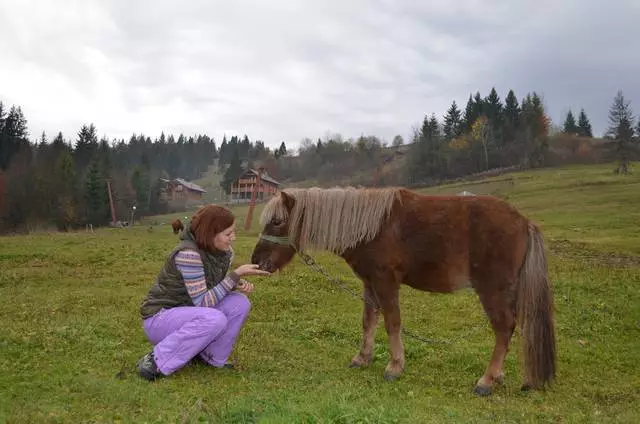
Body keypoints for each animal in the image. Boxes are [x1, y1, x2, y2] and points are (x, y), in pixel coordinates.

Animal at [250, 187, 556, 396]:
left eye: (277, 221)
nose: (257, 262)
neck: (371, 227)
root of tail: (524, 222)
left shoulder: (386, 282)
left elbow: (392, 322)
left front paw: (395, 366)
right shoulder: (369, 283)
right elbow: (368, 321)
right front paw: (363, 358)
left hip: (492, 290)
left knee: (504, 328)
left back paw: (487, 380)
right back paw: (500, 375)